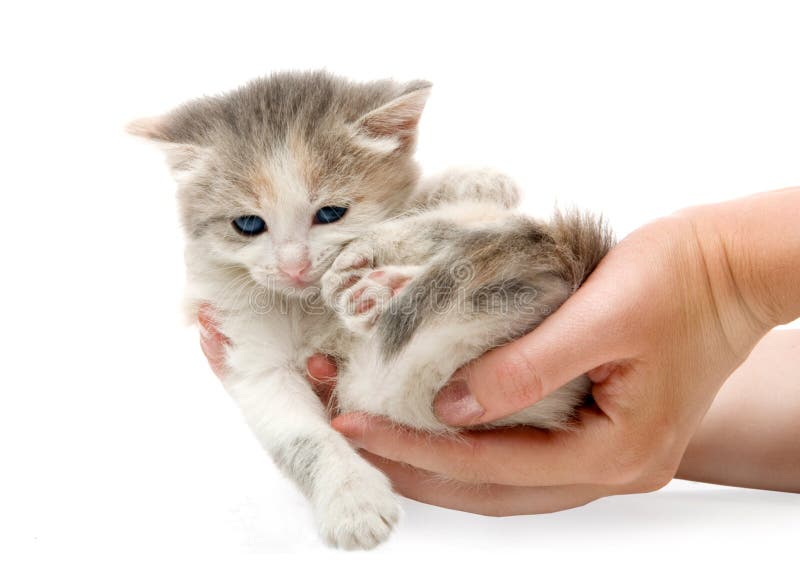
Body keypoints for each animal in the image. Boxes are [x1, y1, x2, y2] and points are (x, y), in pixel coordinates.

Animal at [130, 71, 612, 548]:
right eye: (247, 225)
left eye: (331, 213)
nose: (294, 267)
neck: (309, 304)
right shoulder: (248, 349)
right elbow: (302, 436)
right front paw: (352, 502)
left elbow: (426, 207)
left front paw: (472, 178)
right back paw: (378, 291)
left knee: (500, 233)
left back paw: (377, 271)